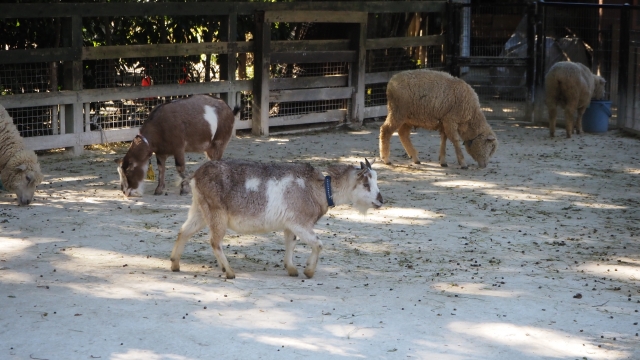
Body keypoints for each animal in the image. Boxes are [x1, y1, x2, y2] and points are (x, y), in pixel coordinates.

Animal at [169, 158, 384, 278]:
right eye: (366, 184)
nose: (380, 200)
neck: (318, 189)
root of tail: (195, 175)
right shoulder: (300, 222)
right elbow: (318, 243)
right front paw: (308, 271)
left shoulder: (289, 224)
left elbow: (290, 243)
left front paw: (292, 269)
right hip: (216, 212)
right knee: (215, 241)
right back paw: (229, 272)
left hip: (200, 209)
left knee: (184, 231)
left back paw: (175, 264)